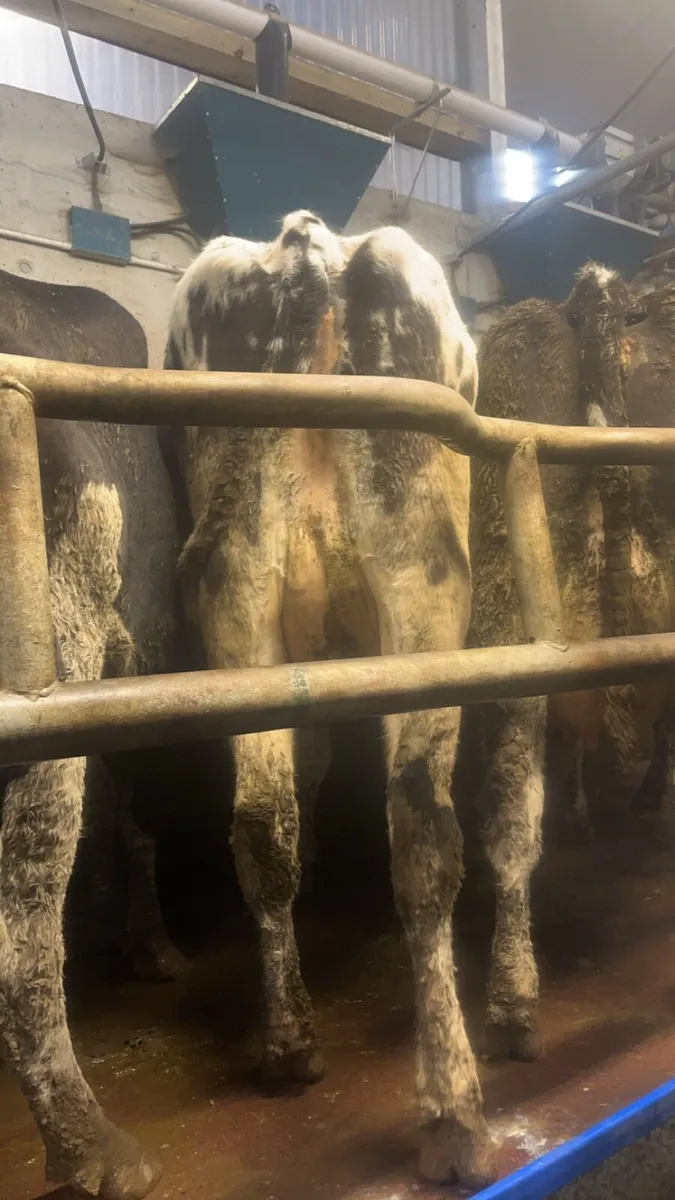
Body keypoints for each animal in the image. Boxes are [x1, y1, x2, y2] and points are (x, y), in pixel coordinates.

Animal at [162, 210, 495, 1188]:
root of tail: (310, 245)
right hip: (425, 581)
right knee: (420, 825)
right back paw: (451, 1112)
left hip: (234, 591)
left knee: (262, 818)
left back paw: (289, 1043)